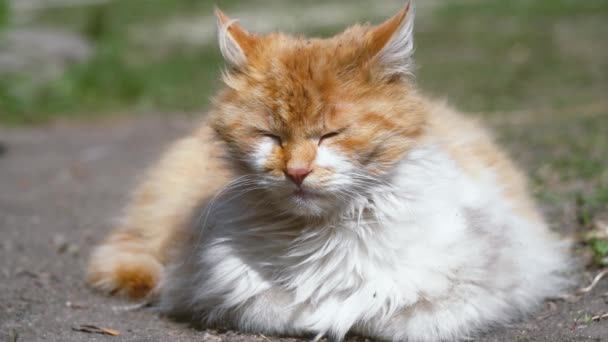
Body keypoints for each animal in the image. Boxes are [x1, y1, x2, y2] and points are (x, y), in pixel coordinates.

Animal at [85, 1, 568, 340]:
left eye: (330, 135)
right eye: (271, 136)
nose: (297, 172)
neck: (328, 231)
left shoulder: (489, 283)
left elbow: (396, 314)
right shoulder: (217, 284)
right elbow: (283, 308)